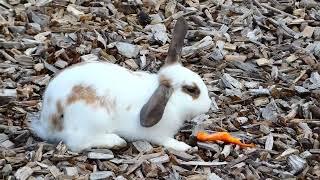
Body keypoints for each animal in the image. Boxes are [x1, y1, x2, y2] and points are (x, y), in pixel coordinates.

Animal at [30, 16, 212, 152]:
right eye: (191, 90)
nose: (209, 104)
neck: (172, 103)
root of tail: (49, 120)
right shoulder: (158, 134)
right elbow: (167, 141)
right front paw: (184, 147)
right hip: (92, 120)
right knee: (78, 143)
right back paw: (115, 141)